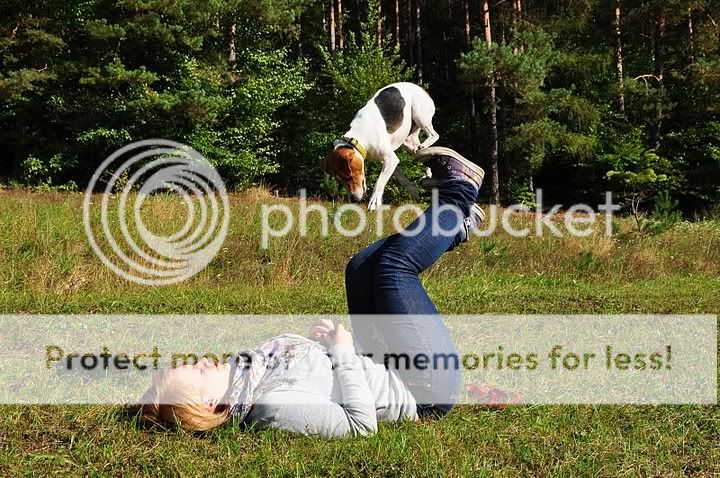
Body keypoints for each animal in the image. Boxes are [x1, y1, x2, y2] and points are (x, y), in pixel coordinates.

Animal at [324, 82, 440, 211]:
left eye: (348, 176)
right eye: (340, 180)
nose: (353, 200)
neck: (358, 137)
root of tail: (419, 87)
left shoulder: (390, 159)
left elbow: (379, 182)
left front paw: (374, 201)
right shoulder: (387, 161)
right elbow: (400, 178)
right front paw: (413, 190)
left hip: (419, 115)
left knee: (434, 135)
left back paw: (427, 143)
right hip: (409, 142)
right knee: (422, 152)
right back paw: (428, 171)